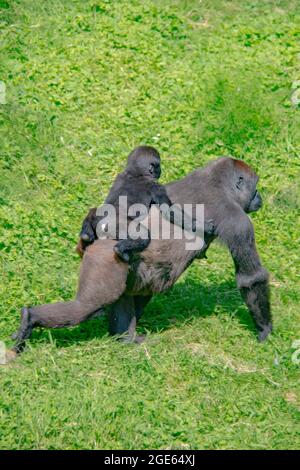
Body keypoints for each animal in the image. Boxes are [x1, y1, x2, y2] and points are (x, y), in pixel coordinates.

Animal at [11, 156, 270, 350]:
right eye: (254, 187)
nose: (260, 197)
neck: (216, 183)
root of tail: (101, 238)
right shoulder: (238, 221)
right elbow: (251, 278)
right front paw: (265, 331)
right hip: (105, 258)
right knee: (85, 306)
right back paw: (30, 319)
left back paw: (124, 338)